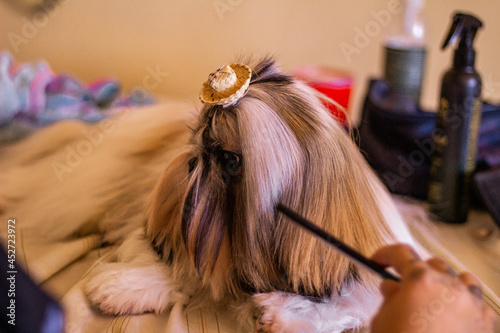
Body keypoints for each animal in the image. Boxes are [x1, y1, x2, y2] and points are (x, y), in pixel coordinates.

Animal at [0, 58, 418, 330]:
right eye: (197, 136)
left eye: (230, 159)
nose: (191, 159)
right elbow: (183, 265)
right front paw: (123, 287)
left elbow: (343, 301)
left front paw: (283, 314)